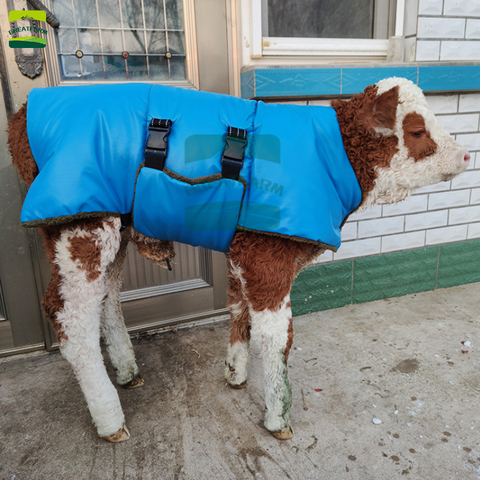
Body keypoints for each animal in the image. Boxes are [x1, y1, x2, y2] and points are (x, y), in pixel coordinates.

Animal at [8, 79, 468, 442]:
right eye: (417, 129)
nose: (466, 155)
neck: (333, 154)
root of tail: (26, 108)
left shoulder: (244, 251)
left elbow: (239, 310)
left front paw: (236, 372)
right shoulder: (268, 255)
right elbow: (278, 338)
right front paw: (278, 417)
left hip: (114, 231)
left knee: (106, 300)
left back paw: (125, 371)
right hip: (80, 227)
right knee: (69, 315)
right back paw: (109, 420)